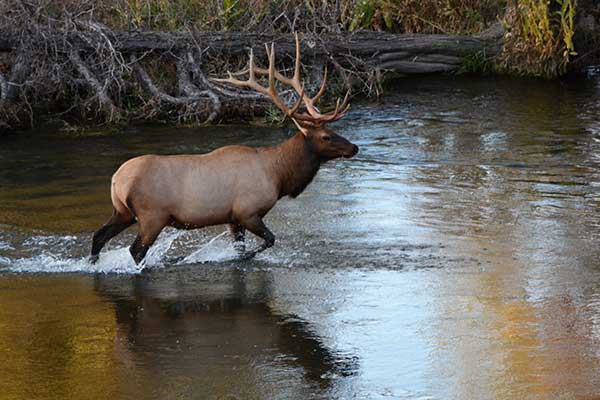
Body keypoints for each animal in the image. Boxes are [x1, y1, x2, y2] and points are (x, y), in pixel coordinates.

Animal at [89, 33, 356, 266]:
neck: (279, 176)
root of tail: (117, 180)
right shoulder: (247, 212)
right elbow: (268, 241)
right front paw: (240, 257)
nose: (354, 147)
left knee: (98, 236)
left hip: (122, 211)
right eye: (326, 136)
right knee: (135, 249)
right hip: (152, 216)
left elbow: (240, 245)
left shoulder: (233, 218)